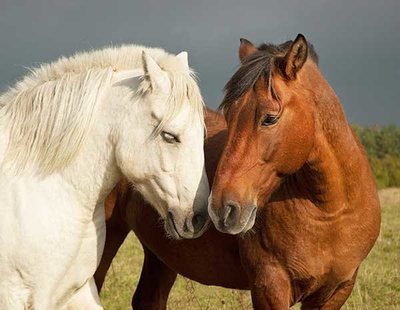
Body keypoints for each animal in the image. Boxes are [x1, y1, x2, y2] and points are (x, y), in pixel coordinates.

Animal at [94, 35, 382, 308]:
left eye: (270, 118)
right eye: (230, 116)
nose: (222, 209)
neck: (330, 212)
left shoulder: (336, 291)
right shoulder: (269, 287)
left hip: (162, 252)